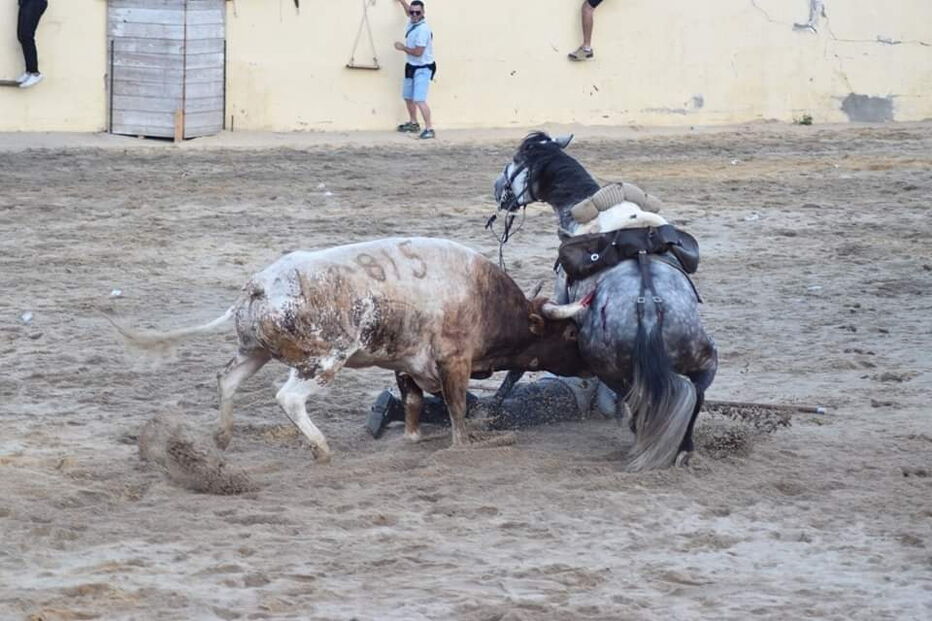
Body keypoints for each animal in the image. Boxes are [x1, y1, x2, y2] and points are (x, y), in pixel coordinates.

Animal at [492, 132, 718, 470]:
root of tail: (647, 309)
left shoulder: (558, 297)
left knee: (639, 406)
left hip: (610, 370)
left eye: (516, 161)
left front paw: (493, 408)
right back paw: (682, 451)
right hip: (704, 360)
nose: (497, 188)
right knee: (693, 397)